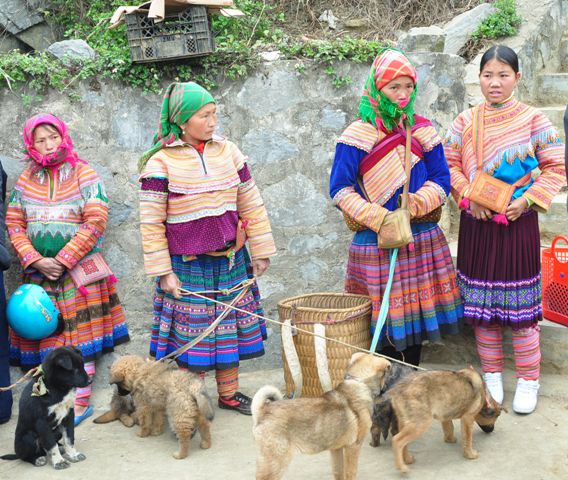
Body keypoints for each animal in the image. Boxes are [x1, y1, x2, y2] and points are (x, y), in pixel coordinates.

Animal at [252, 352, 391, 480]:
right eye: (386, 374)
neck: (359, 382)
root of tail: (263, 410)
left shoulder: (336, 449)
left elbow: (338, 472)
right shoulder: (353, 447)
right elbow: (351, 473)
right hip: (275, 461)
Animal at [374, 367, 503, 473]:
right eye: (496, 417)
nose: (492, 430)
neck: (484, 393)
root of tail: (397, 389)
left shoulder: (445, 416)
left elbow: (449, 428)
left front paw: (450, 439)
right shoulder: (468, 418)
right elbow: (468, 439)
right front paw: (470, 454)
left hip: (404, 422)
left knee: (403, 442)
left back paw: (407, 459)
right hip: (420, 424)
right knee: (397, 440)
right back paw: (402, 467)